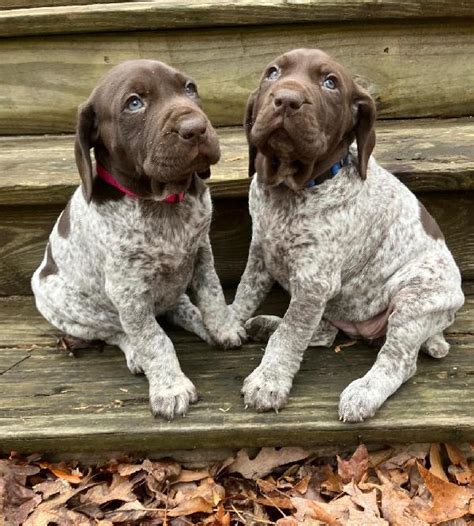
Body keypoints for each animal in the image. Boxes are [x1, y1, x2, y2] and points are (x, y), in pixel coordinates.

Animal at [32, 59, 246, 420]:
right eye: (134, 103)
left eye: (189, 88)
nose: (196, 128)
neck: (163, 202)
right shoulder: (128, 288)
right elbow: (153, 339)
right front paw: (170, 388)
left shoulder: (201, 250)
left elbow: (212, 294)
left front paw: (222, 327)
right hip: (57, 301)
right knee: (116, 329)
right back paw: (135, 354)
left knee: (177, 308)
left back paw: (198, 322)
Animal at [231, 49, 464, 424]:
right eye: (273, 73)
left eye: (330, 83)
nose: (286, 100)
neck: (290, 191)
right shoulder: (261, 254)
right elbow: (245, 296)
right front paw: (226, 326)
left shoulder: (314, 283)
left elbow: (290, 336)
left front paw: (269, 381)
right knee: (324, 333)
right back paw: (266, 324)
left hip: (415, 298)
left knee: (399, 361)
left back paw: (364, 393)